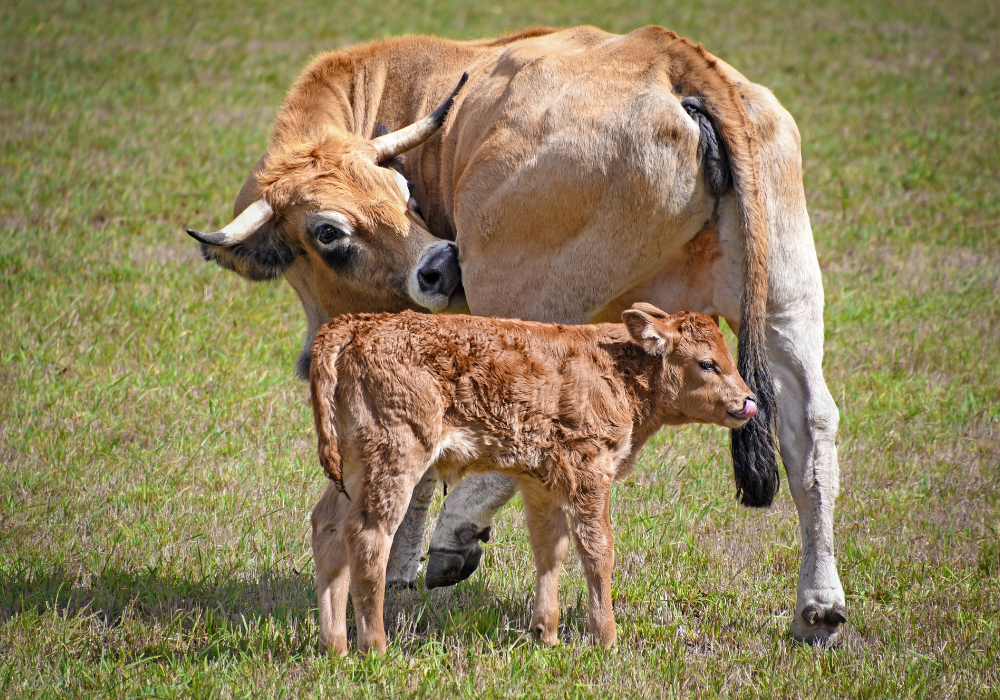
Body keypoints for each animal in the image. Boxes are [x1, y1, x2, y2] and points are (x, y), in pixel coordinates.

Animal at [308, 304, 752, 652]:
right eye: (707, 363)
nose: (749, 401)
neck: (617, 369)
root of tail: (356, 325)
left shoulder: (542, 482)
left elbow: (550, 548)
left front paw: (545, 633)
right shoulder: (589, 472)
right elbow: (598, 550)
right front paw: (605, 637)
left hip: (354, 467)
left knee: (327, 528)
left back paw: (335, 645)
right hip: (394, 458)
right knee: (368, 536)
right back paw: (374, 646)